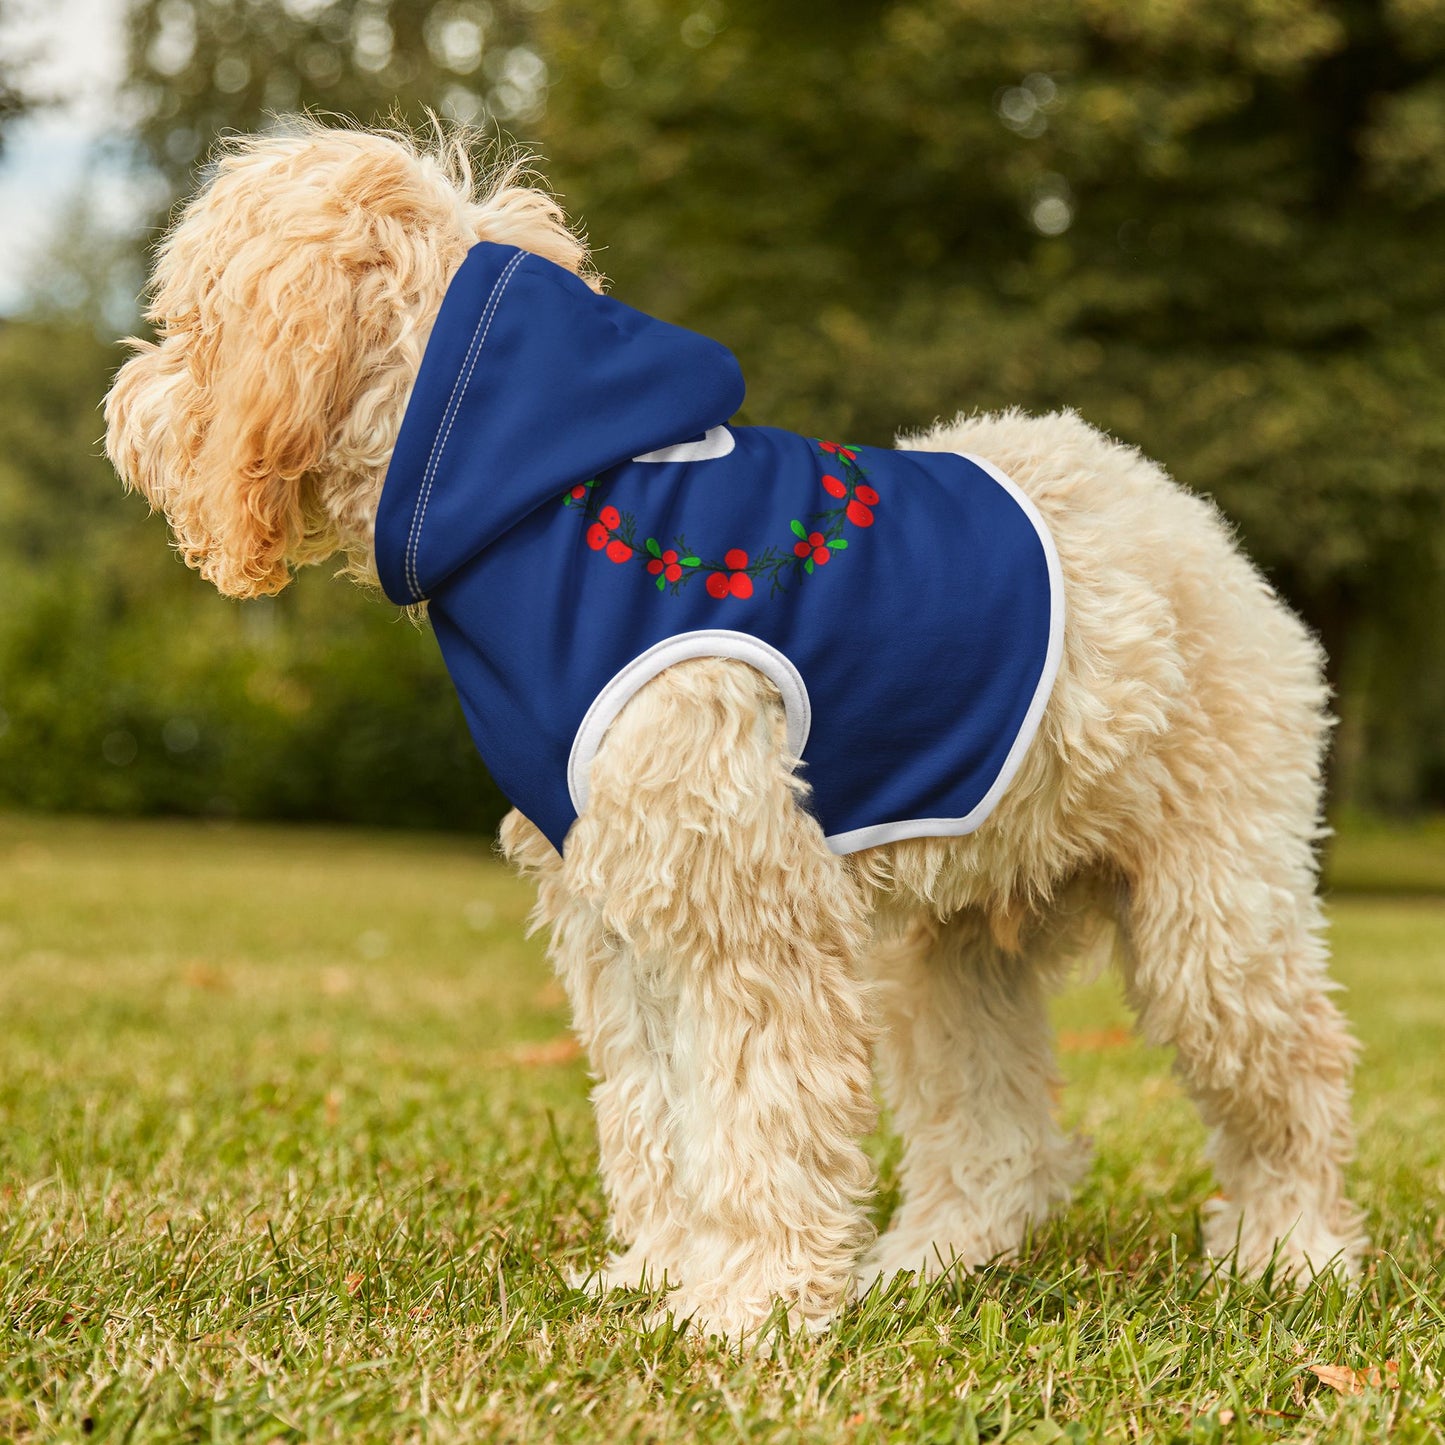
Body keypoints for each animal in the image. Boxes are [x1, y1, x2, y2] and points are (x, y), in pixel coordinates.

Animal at [104, 124, 1364, 1340]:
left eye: (190, 319)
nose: (123, 408)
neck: (540, 498)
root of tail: (1186, 518)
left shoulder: (743, 905)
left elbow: (758, 1112)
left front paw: (747, 1304)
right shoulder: (618, 910)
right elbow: (656, 1110)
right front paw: (662, 1273)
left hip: (1212, 915)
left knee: (1293, 1076)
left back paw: (1290, 1252)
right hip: (950, 948)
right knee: (996, 1134)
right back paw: (929, 1260)